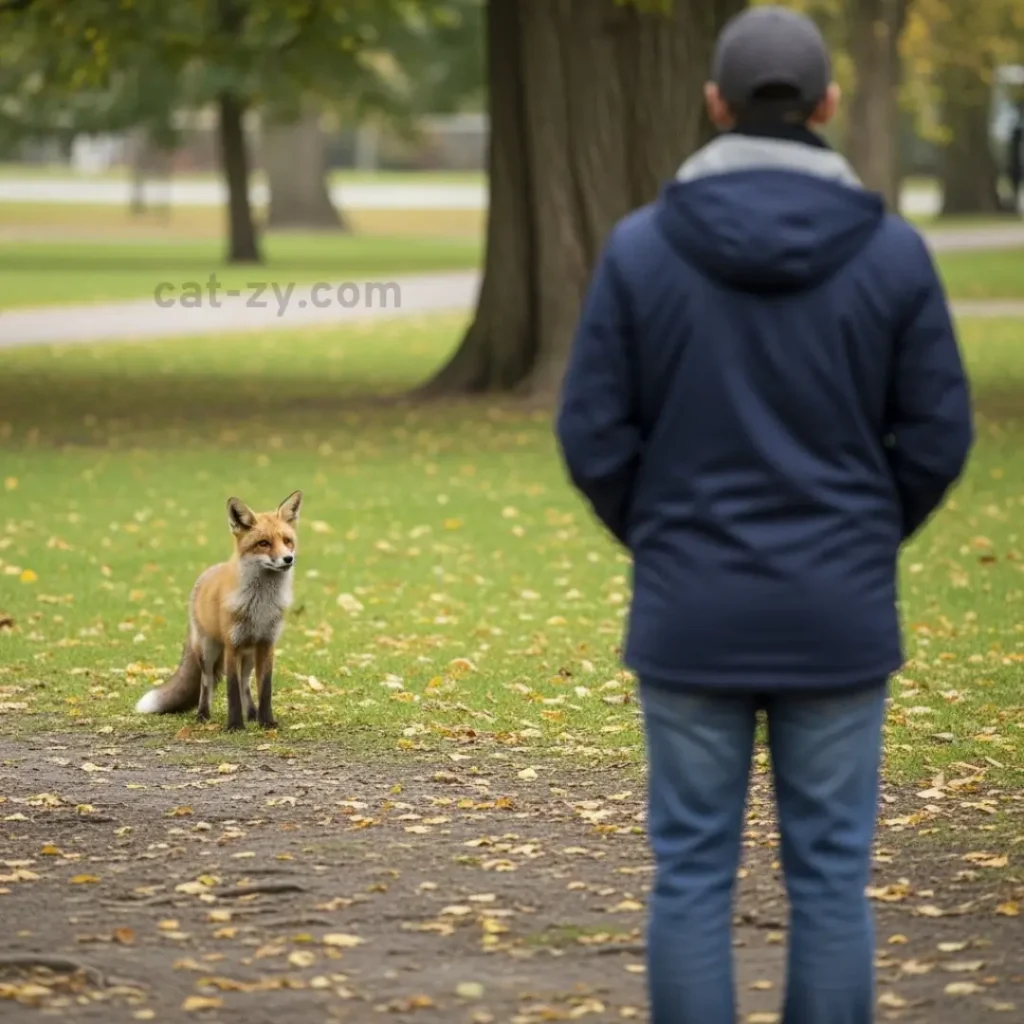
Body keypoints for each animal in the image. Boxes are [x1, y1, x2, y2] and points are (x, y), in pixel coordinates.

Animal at [134, 490, 303, 731]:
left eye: (287, 541)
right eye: (264, 543)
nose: (288, 559)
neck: (260, 605)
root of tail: (206, 574)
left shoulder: (267, 644)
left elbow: (264, 689)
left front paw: (266, 722)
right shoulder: (232, 645)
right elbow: (231, 689)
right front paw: (234, 725)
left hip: (248, 654)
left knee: (245, 683)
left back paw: (252, 714)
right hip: (209, 649)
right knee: (207, 683)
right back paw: (203, 714)